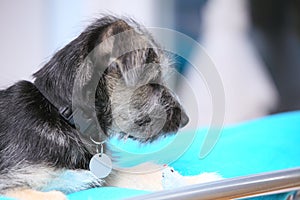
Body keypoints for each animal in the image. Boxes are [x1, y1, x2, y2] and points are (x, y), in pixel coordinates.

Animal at [0, 16, 188, 200]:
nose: (186, 120)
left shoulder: (102, 176)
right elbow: (55, 196)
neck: (61, 114)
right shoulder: (11, 182)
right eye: (153, 81)